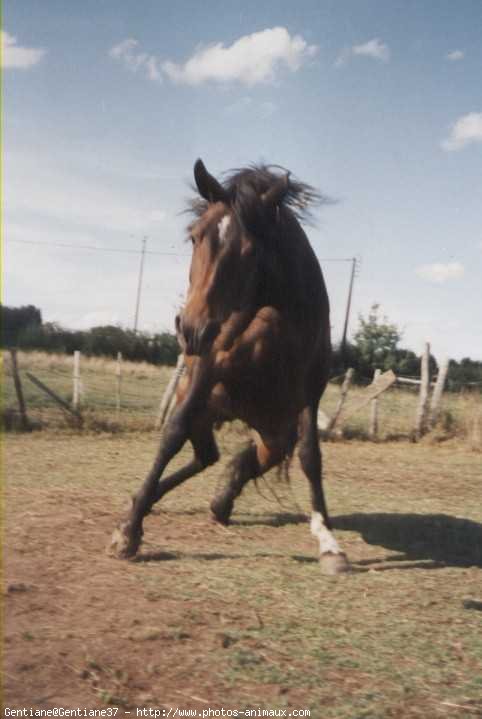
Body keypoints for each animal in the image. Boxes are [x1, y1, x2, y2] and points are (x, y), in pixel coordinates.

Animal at [111, 160, 352, 576]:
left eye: (251, 250)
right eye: (194, 237)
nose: (192, 329)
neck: (274, 313)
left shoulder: (310, 391)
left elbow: (310, 456)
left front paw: (328, 542)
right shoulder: (208, 371)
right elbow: (172, 434)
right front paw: (129, 531)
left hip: (273, 434)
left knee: (229, 459)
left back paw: (219, 502)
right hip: (208, 410)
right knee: (204, 454)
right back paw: (148, 499)